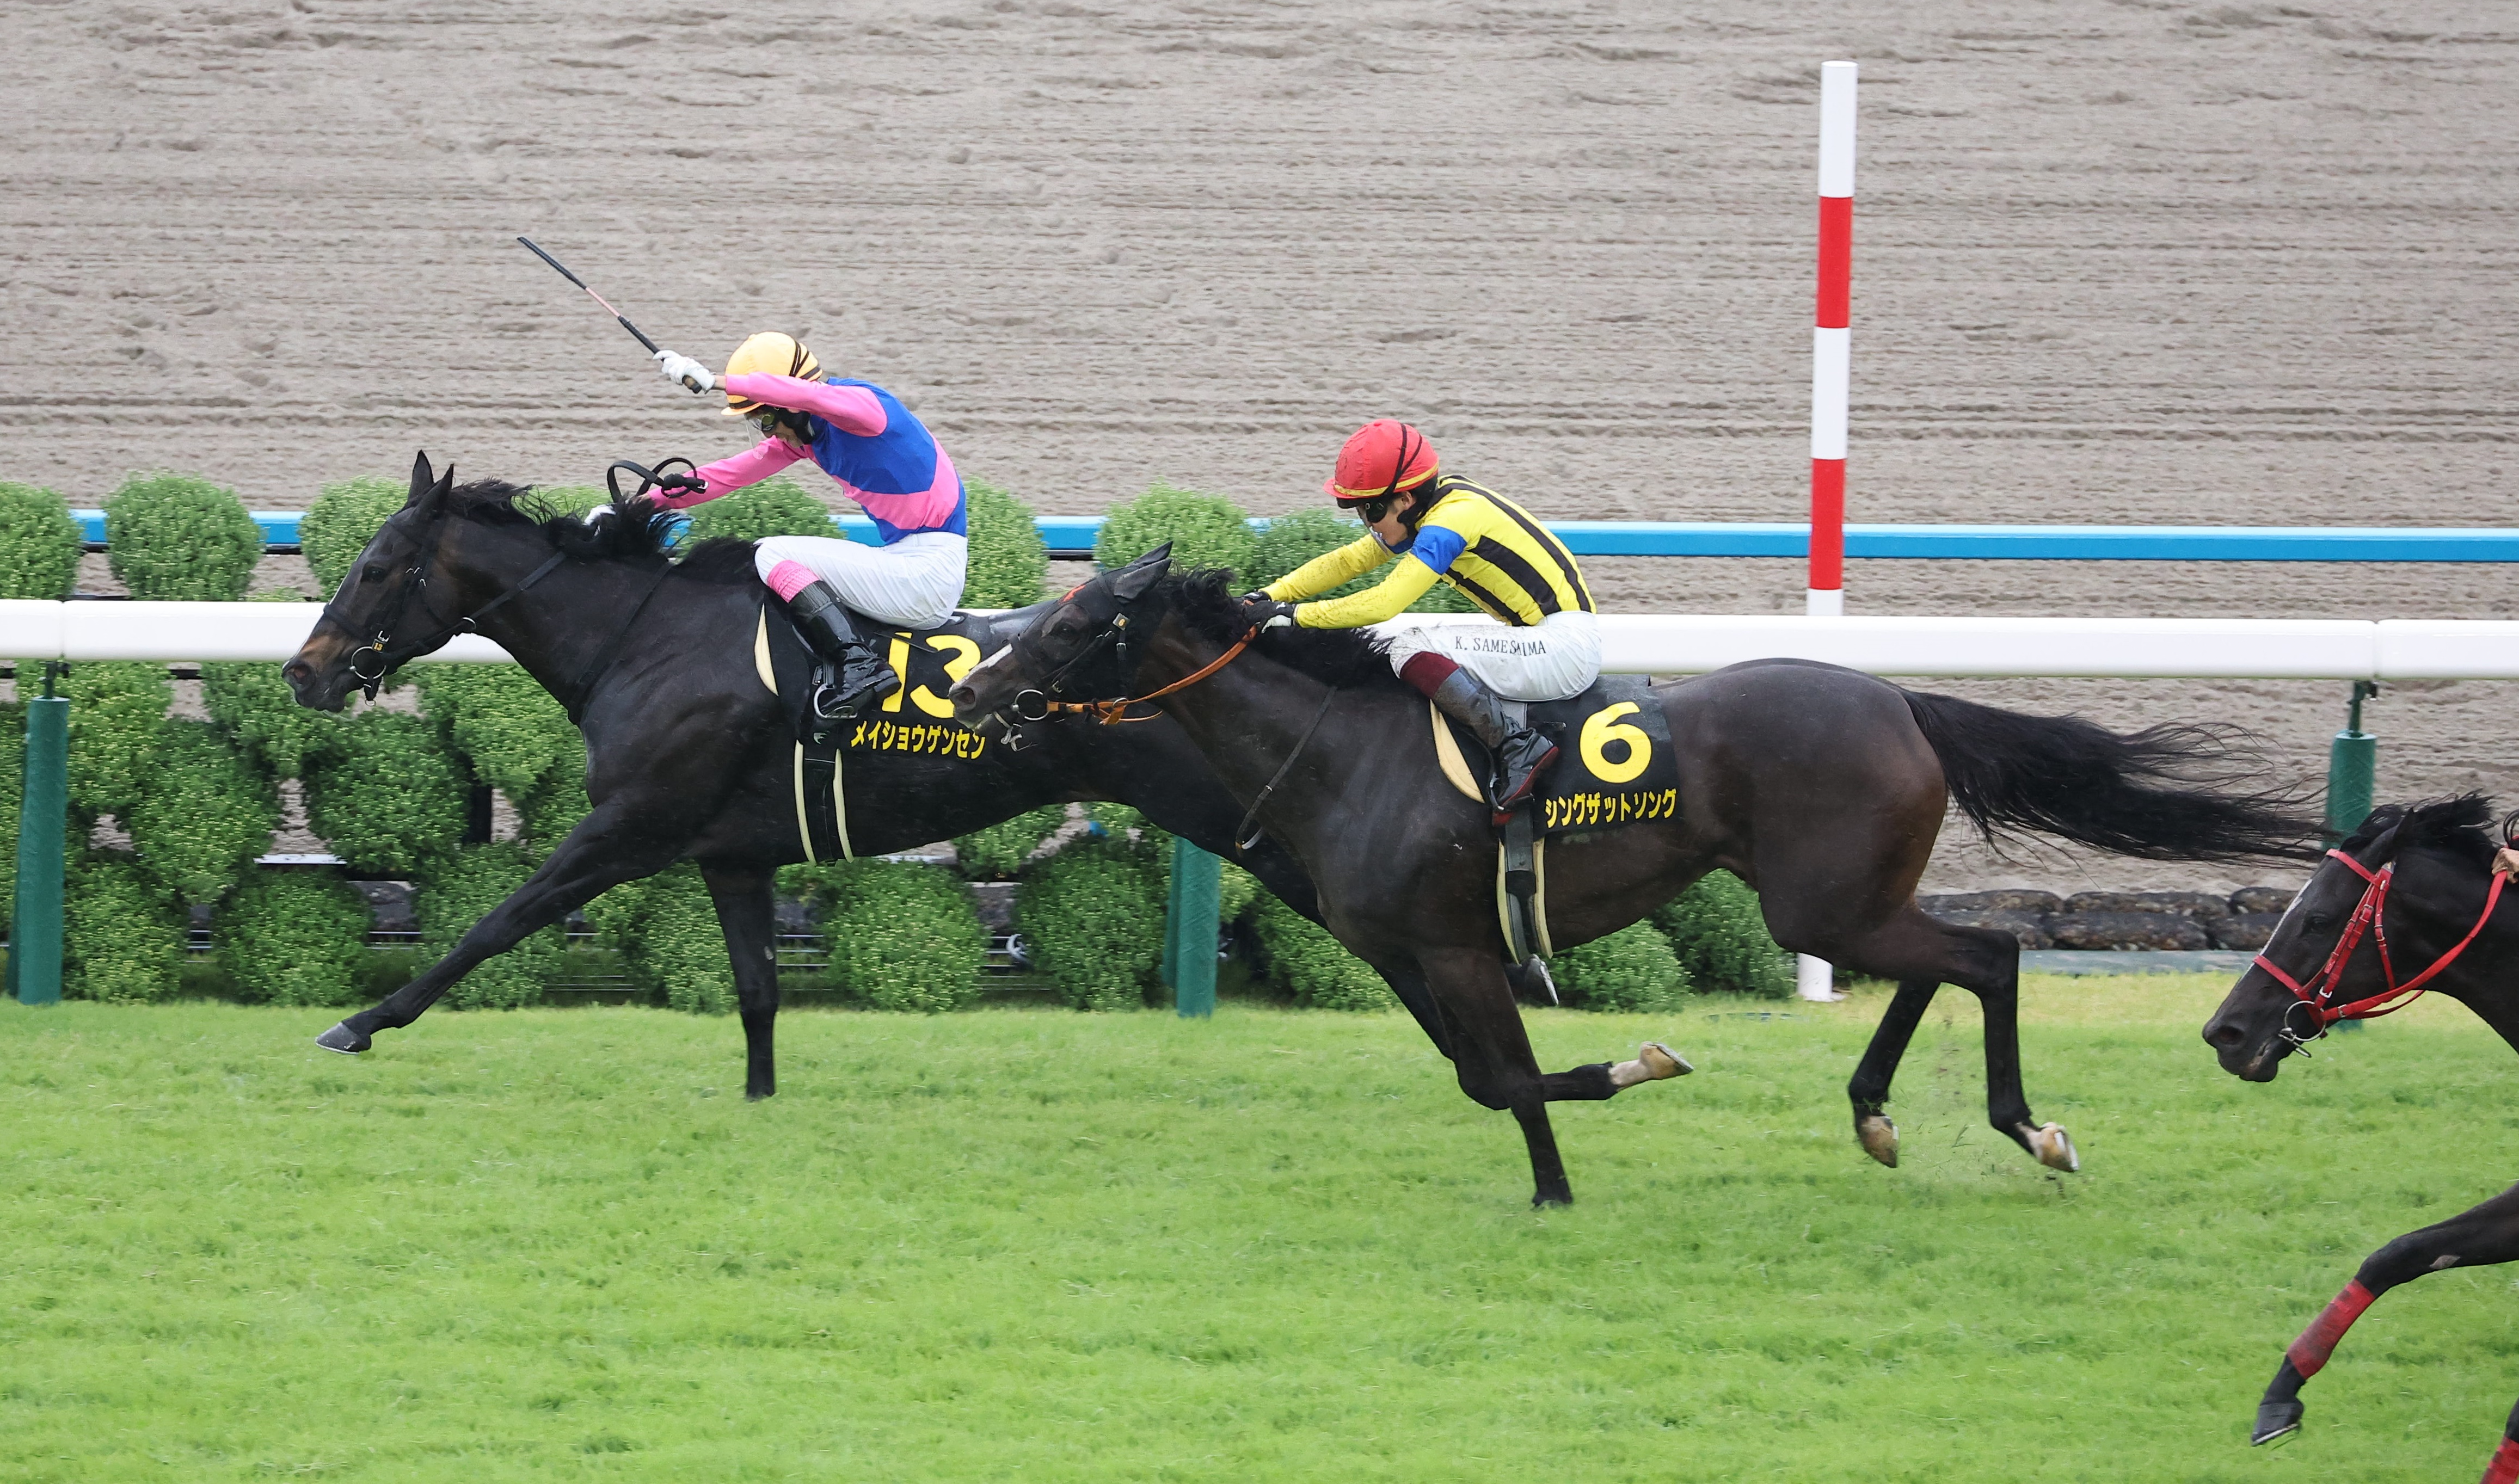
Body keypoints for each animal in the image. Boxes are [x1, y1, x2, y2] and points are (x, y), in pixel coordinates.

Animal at [283, 456, 1320, 1093]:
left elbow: (495, 923)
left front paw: (361, 1020)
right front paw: (759, 1098)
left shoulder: (630, 825)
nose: (303, 670)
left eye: (375, 567)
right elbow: (756, 989)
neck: (644, 637)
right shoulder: (731, 856)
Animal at [947, 551, 2317, 1204]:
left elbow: (1507, 1075)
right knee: (1942, 963)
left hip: (1818, 901)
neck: (1338, 747)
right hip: (1844, 899)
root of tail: (1902, 701)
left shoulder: (1457, 946)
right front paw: (1577, 1146)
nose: (970, 688)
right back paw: (1876, 1113)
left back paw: (2030, 1128)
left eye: (1069, 626)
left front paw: (1585, 1144)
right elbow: (1483, 1078)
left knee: (1990, 951)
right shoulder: (1403, 950)